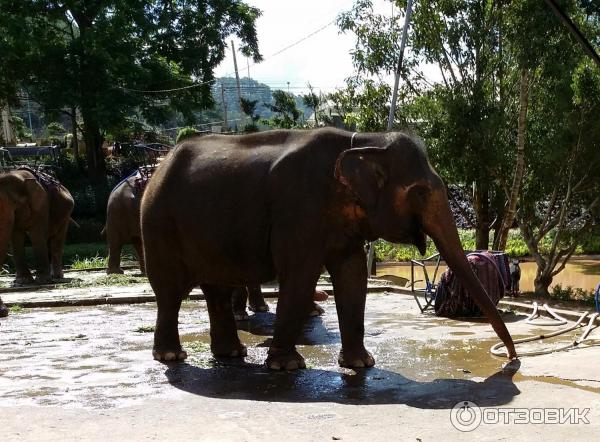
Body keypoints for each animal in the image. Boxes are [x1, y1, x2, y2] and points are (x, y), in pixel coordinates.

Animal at [139, 129, 516, 370]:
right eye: (421, 192)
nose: (512, 359)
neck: (363, 141)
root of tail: (157, 167)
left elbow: (353, 276)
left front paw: (361, 364)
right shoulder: (299, 209)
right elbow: (299, 275)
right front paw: (287, 366)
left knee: (216, 289)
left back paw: (232, 354)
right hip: (158, 225)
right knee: (170, 291)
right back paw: (172, 357)